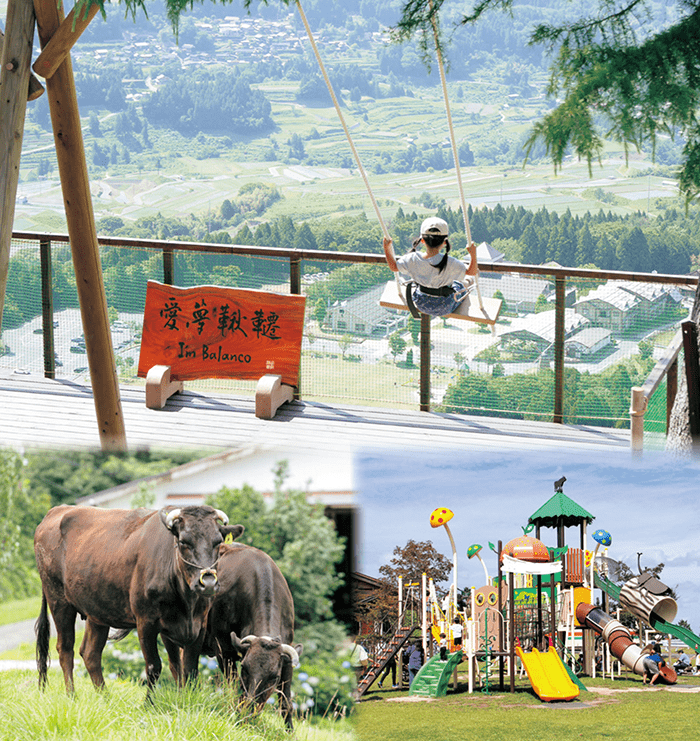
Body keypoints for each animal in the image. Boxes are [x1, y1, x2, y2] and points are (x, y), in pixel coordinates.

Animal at [34, 500, 243, 696]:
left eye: (218, 541)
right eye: (184, 542)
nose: (208, 583)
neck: (187, 604)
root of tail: (57, 510)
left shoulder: (195, 625)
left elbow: (185, 668)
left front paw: (185, 701)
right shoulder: (146, 622)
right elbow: (154, 666)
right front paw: (149, 704)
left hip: (97, 611)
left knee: (90, 653)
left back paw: (106, 698)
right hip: (58, 601)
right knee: (65, 649)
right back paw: (72, 696)